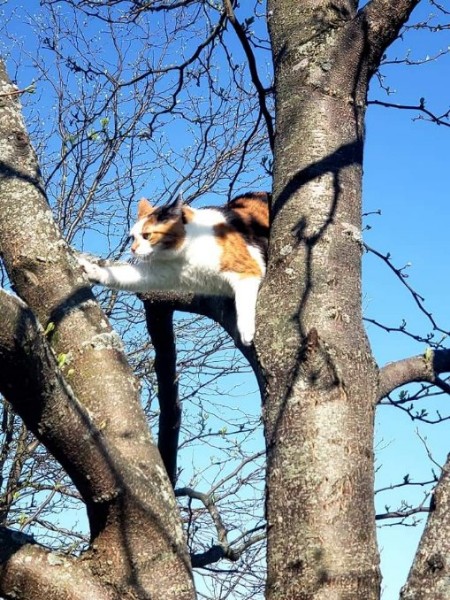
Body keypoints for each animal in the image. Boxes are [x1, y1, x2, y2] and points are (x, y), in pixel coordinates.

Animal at [78, 190, 268, 344]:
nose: (132, 249)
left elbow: (243, 302)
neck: (186, 255)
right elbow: (125, 275)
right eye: (132, 237)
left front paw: (246, 332)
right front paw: (93, 271)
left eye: (147, 235)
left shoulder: (248, 270)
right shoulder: (157, 272)